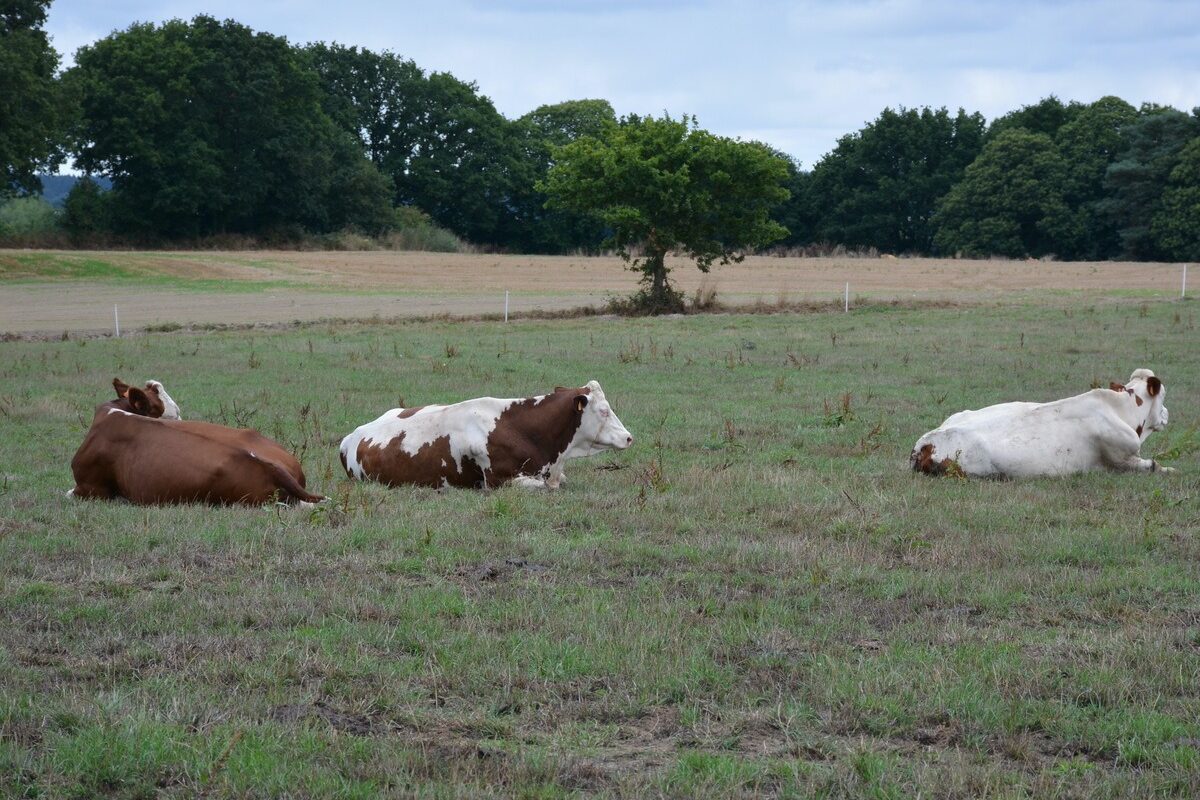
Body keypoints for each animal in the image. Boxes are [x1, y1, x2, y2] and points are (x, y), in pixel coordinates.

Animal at [907, 371, 1171, 479]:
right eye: (1164, 395)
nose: (1167, 413)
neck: (1119, 409)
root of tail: (925, 442)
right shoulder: (1123, 459)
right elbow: (1154, 466)